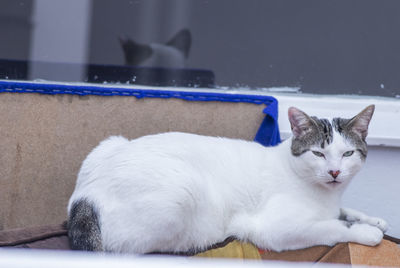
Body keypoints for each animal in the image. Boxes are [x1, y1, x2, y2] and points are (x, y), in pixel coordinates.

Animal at [68, 104, 388, 253]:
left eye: (347, 154)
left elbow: (343, 212)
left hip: (108, 143)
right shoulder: (275, 229)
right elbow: (332, 227)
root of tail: (85, 196)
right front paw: (365, 232)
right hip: (182, 192)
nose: (334, 172)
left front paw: (374, 220)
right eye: (319, 154)